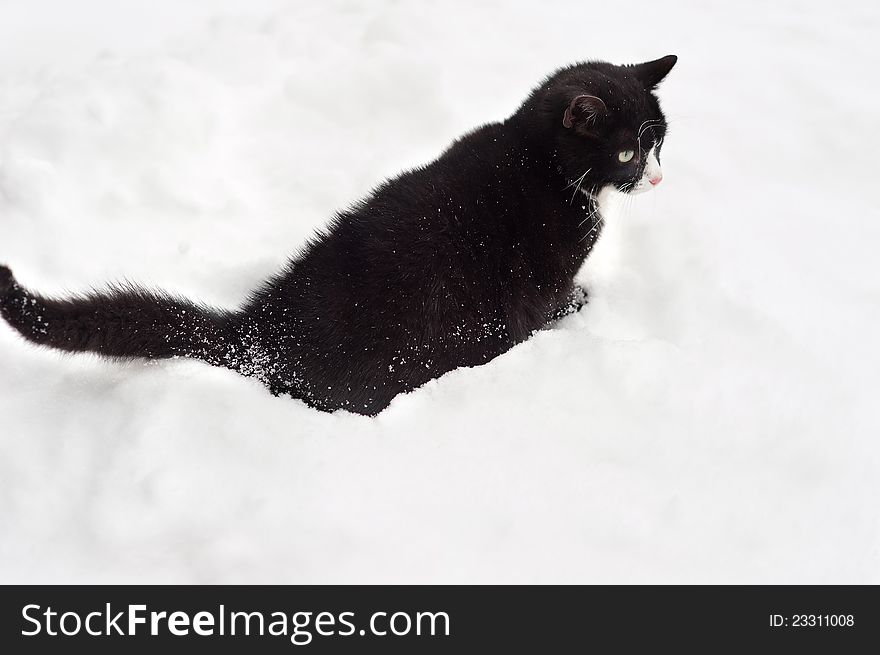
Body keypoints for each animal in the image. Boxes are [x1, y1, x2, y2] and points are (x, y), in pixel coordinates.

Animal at [0, 56, 676, 416]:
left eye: (658, 141)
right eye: (625, 152)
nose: (658, 178)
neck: (539, 159)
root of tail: (260, 333)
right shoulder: (546, 270)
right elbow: (552, 299)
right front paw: (578, 307)